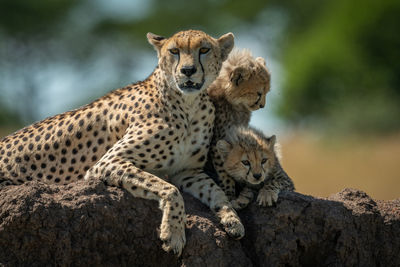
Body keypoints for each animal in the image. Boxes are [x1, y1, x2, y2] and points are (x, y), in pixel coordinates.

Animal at [0, 29, 244, 255]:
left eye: (204, 50)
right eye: (174, 51)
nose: (187, 70)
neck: (188, 104)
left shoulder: (187, 171)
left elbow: (216, 191)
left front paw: (232, 219)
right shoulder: (108, 162)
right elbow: (170, 190)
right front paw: (173, 234)